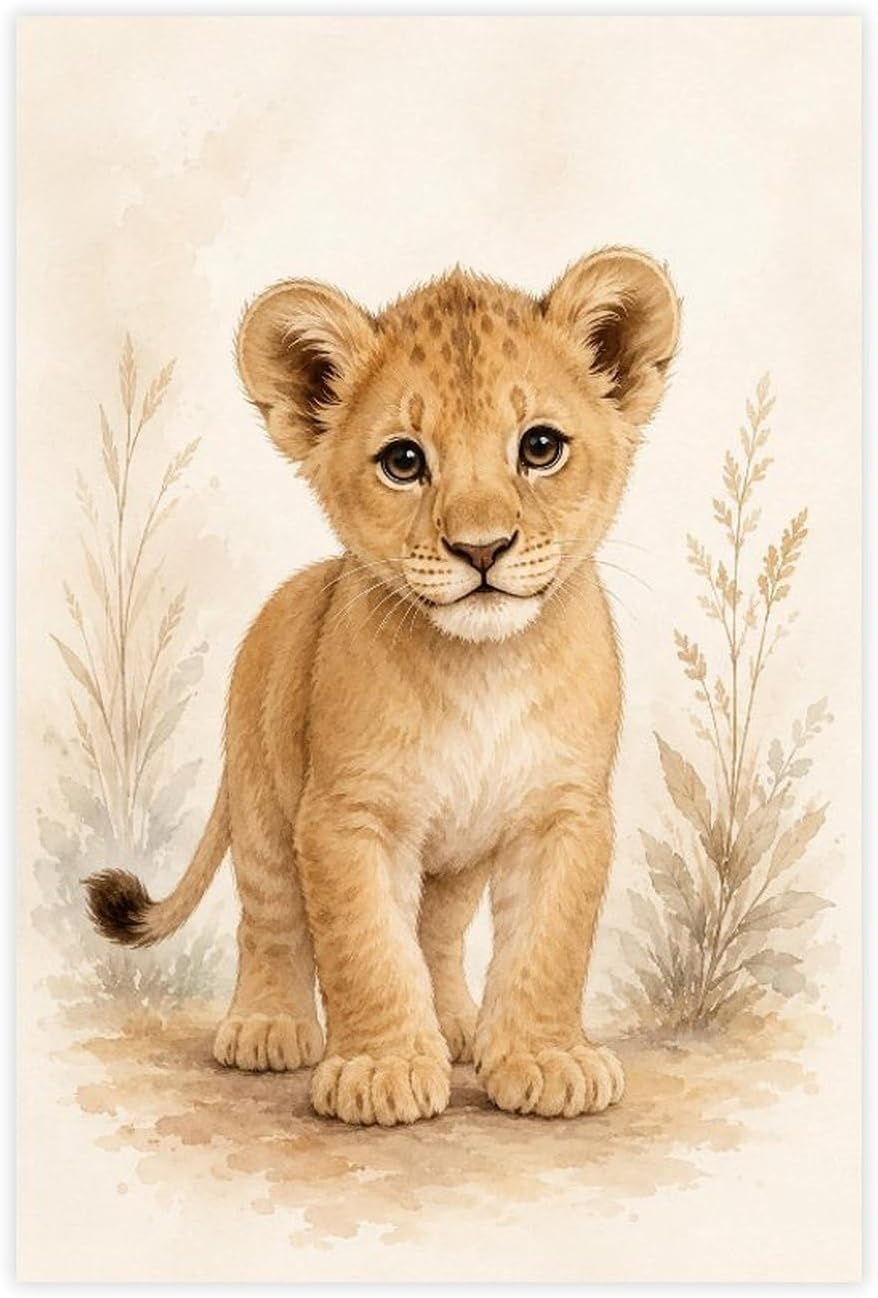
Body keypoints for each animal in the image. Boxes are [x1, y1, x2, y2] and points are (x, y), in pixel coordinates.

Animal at [85, 247, 679, 1126]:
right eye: (404, 461)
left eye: (540, 447)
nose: (482, 549)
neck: (481, 670)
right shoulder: (346, 814)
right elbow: (365, 945)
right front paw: (381, 1071)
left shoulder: (563, 812)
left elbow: (550, 942)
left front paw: (545, 1058)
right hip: (262, 798)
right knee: (271, 918)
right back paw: (268, 1028)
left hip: (457, 856)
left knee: (437, 932)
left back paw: (458, 1027)